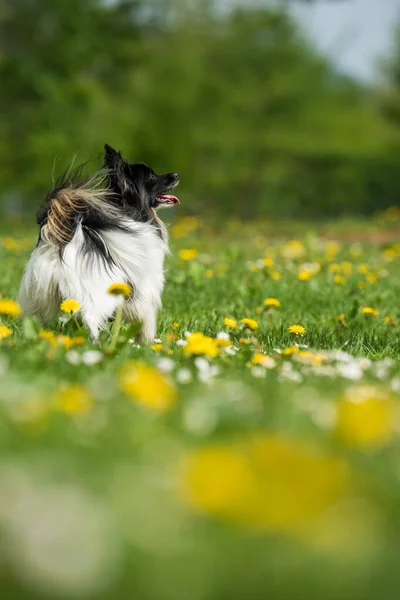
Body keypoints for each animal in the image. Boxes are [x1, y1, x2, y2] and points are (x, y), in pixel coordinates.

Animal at [18, 144, 180, 342]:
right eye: (151, 176)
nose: (176, 175)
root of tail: (63, 245)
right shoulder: (145, 287)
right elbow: (146, 322)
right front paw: (148, 343)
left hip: (41, 294)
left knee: (37, 319)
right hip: (97, 294)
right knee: (90, 318)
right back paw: (96, 344)